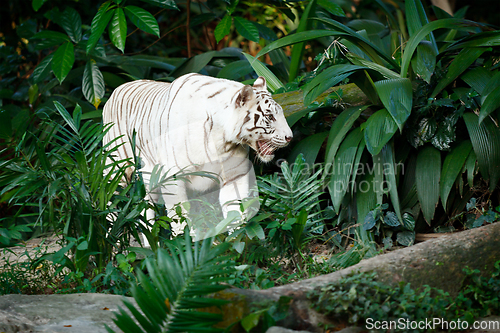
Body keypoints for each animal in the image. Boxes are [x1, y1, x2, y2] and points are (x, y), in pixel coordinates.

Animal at [103, 72, 292, 241]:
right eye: (270, 117)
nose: (290, 137)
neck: (221, 137)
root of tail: (116, 89)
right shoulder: (173, 177)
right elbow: (179, 217)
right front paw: (184, 243)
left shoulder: (235, 175)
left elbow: (235, 210)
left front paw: (237, 242)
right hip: (118, 170)